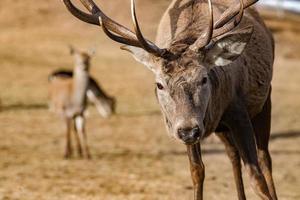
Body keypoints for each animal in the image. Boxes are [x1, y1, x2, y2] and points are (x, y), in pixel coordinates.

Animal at [62, 0, 278, 199]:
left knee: (265, 158)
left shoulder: (238, 111)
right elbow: (197, 172)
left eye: (204, 78)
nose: (189, 130)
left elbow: (256, 177)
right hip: (219, 128)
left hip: (264, 99)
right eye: (159, 84)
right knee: (233, 155)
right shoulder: (183, 124)